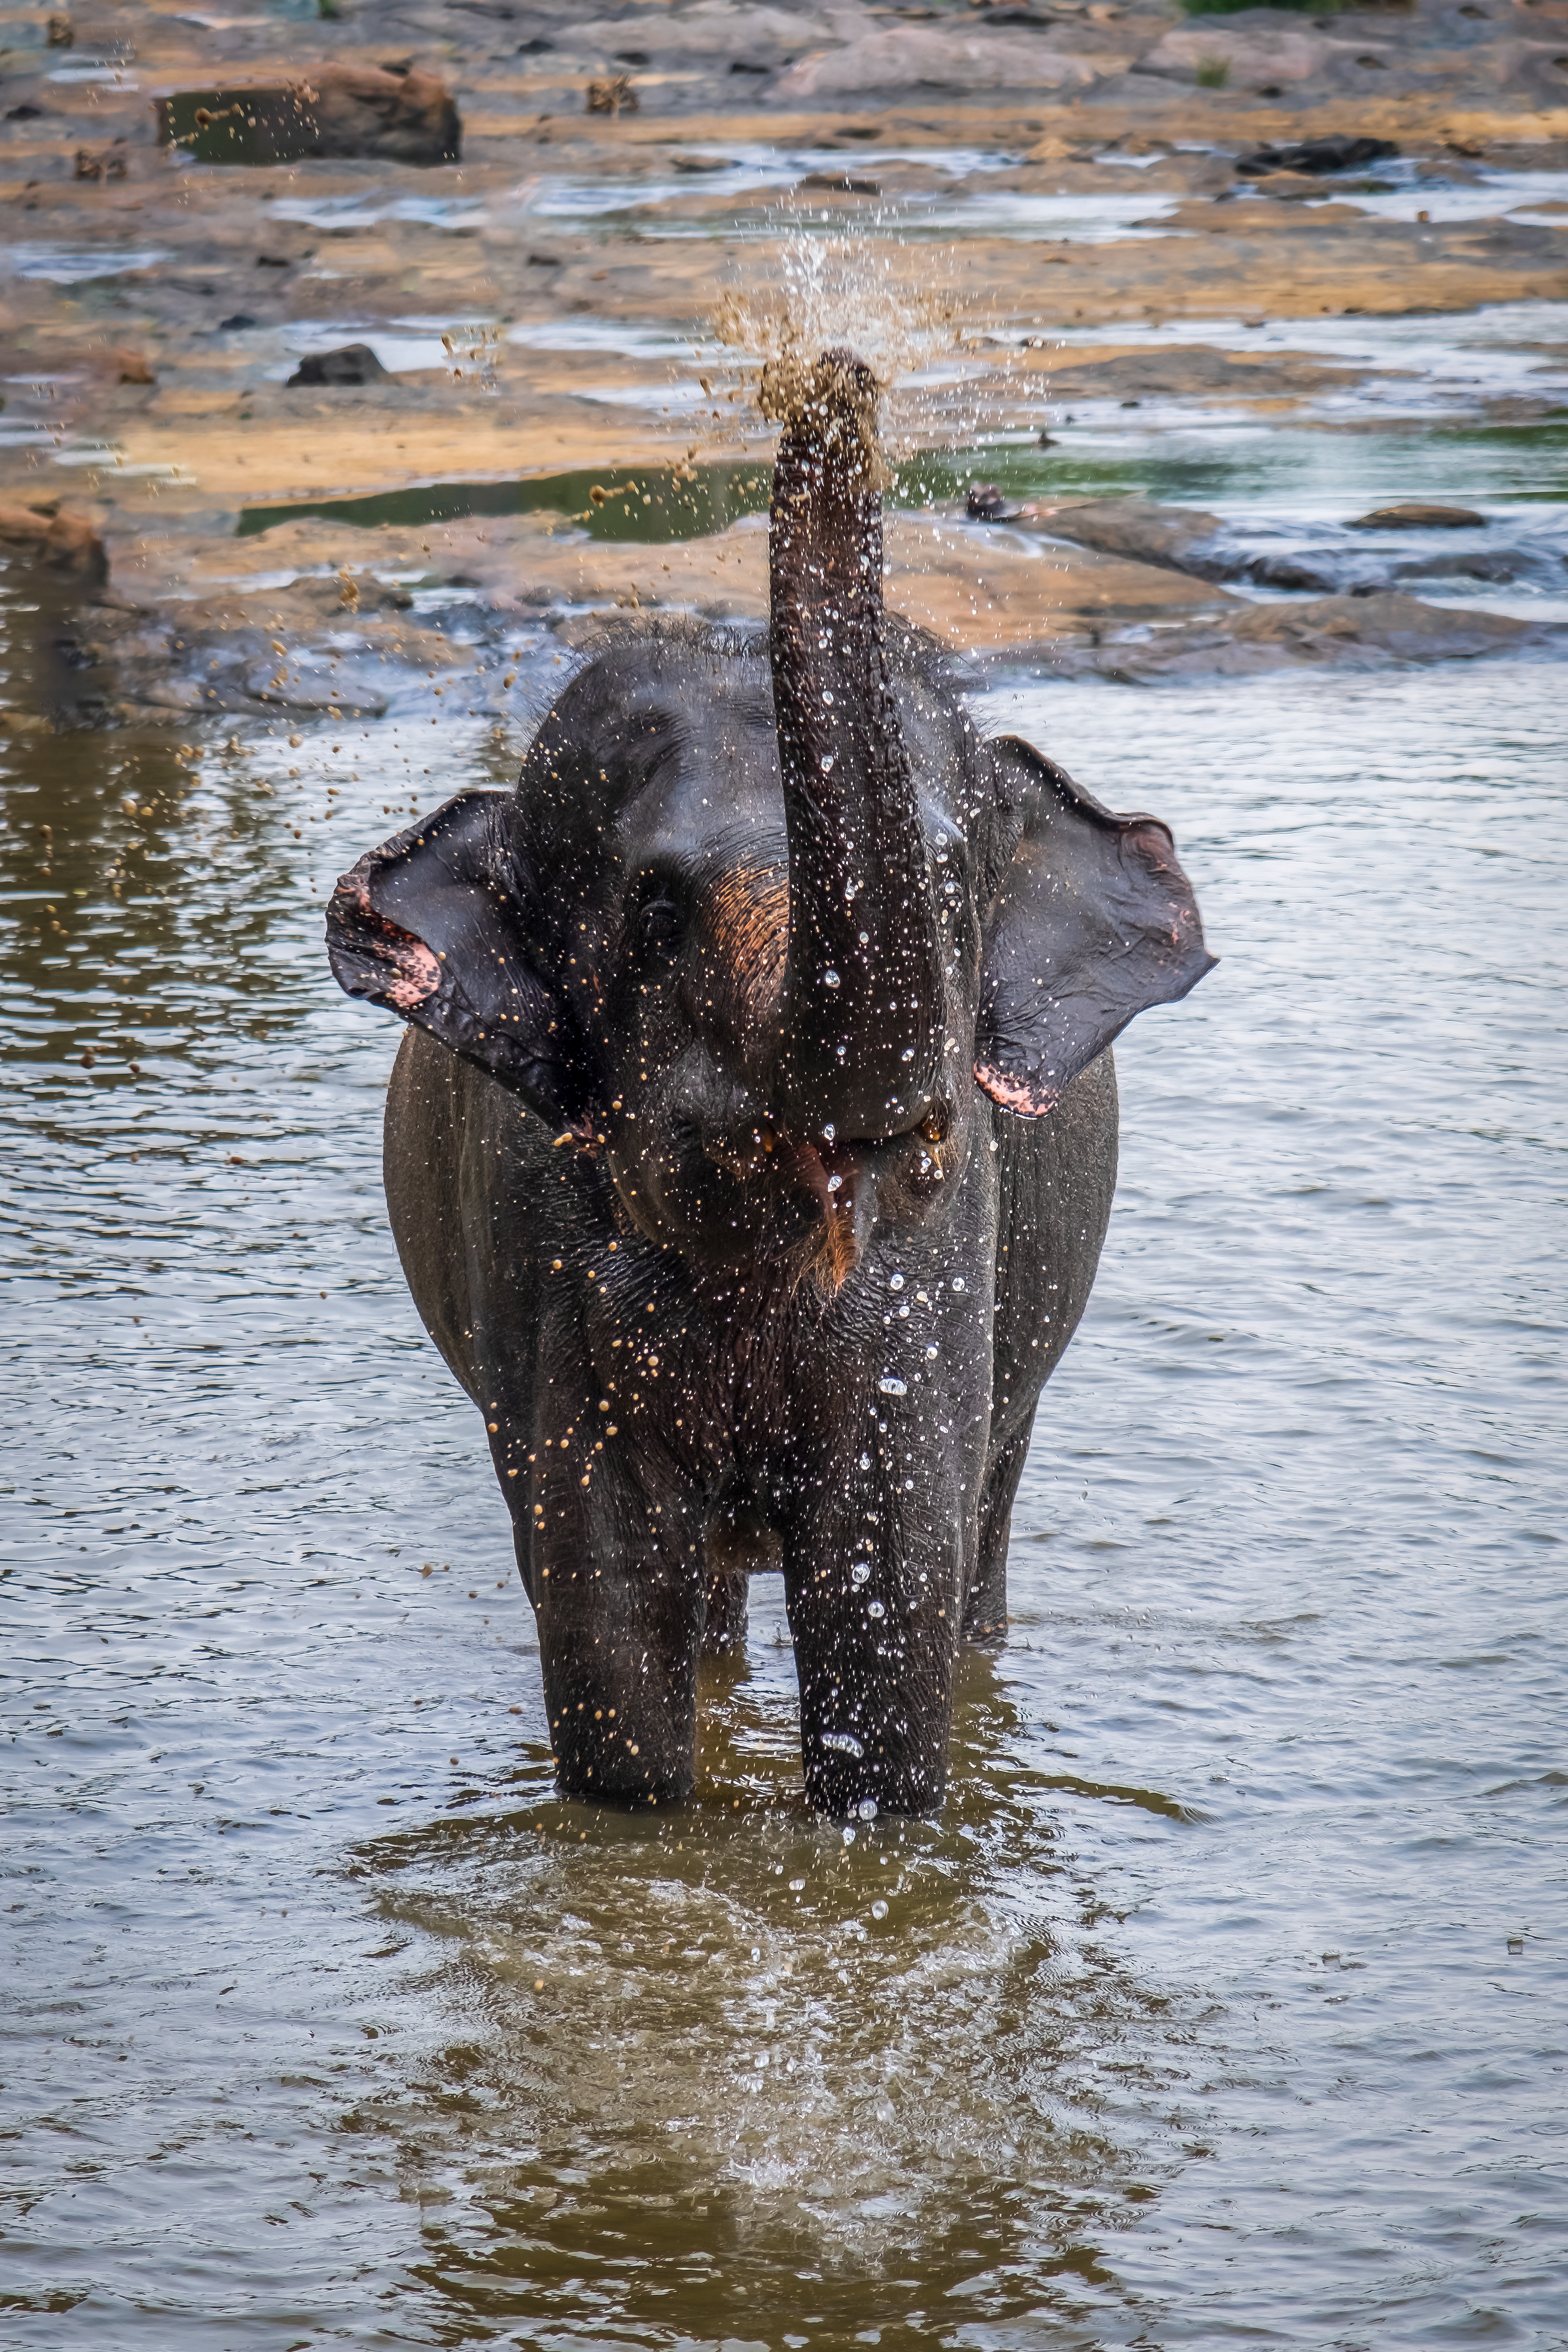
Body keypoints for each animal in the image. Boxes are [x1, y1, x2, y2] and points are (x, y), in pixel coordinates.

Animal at [327, 349, 1213, 1818]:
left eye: (952, 880)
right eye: (658, 908)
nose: (833, 377)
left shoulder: (938, 1266)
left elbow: (885, 1597)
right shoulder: (536, 1249)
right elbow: (612, 1609)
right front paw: (641, 1831)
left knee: (981, 1534)